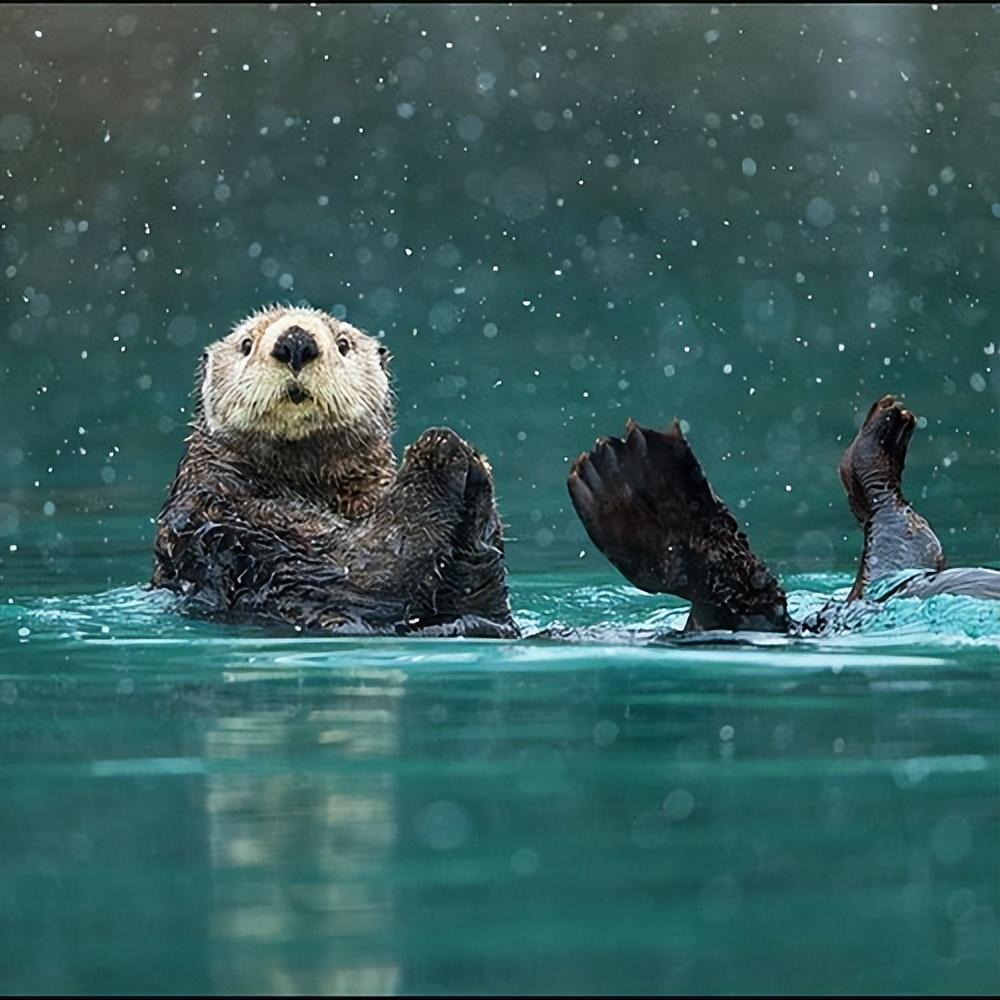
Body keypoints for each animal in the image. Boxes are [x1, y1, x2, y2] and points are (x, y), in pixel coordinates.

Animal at [155, 300, 520, 636]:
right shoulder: (232, 520)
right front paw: (440, 448)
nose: (296, 342)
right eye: (246, 344)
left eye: (343, 344)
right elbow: (367, 561)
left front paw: (475, 472)